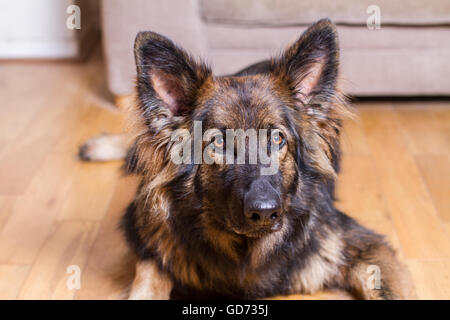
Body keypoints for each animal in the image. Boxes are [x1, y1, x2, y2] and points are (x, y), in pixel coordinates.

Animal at [79, 19, 414, 300]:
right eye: (219, 142)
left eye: (277, 138)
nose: (264, 212)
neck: (245, 252)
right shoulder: (152, 240)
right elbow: (147, 282)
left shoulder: (363, 247)